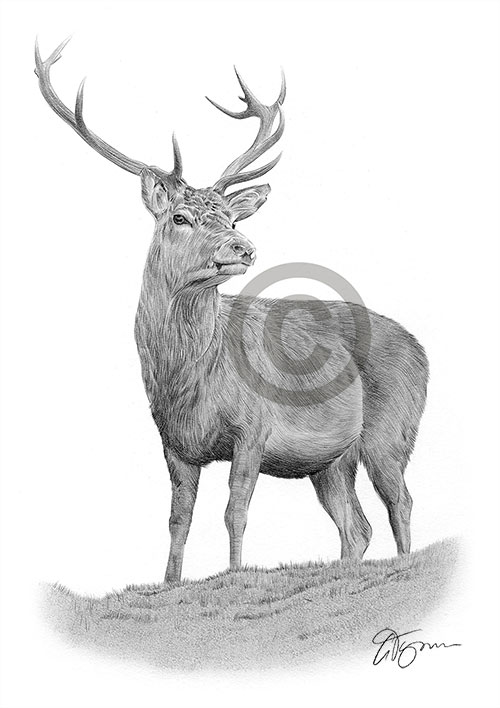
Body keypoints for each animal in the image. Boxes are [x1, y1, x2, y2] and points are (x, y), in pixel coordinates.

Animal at [35, 39, 429, 583]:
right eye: (180, 217)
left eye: (230, 218)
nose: (243, 247)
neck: (187, 378)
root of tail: (422, 350)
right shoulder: (175, 445)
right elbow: (178, 518)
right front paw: (170, 583)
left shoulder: (253, 427)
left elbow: (235, 510)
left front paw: (236, 574)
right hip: (330, 461)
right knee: (357, 526)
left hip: (390, 432)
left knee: (401, 502)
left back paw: (404, 568)